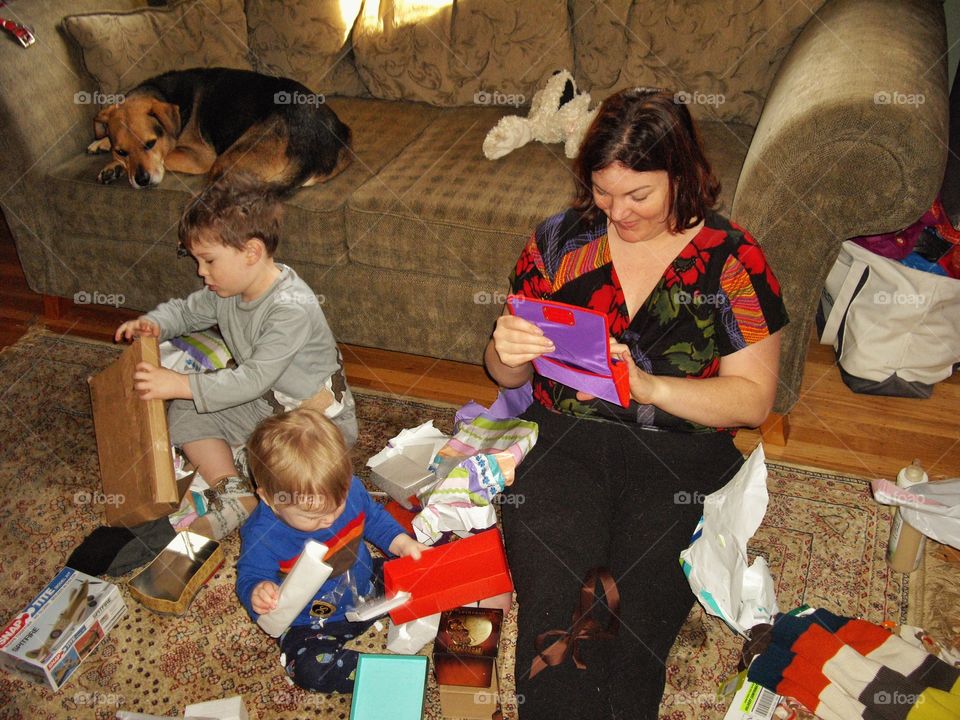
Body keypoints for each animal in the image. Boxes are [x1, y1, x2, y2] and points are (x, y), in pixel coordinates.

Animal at [88, 67, 352, 194]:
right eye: (122, 151)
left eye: (150, 143)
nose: (142, 181)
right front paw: (104, 149)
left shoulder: (199, 158)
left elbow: (165, 157)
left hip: (225, 160)